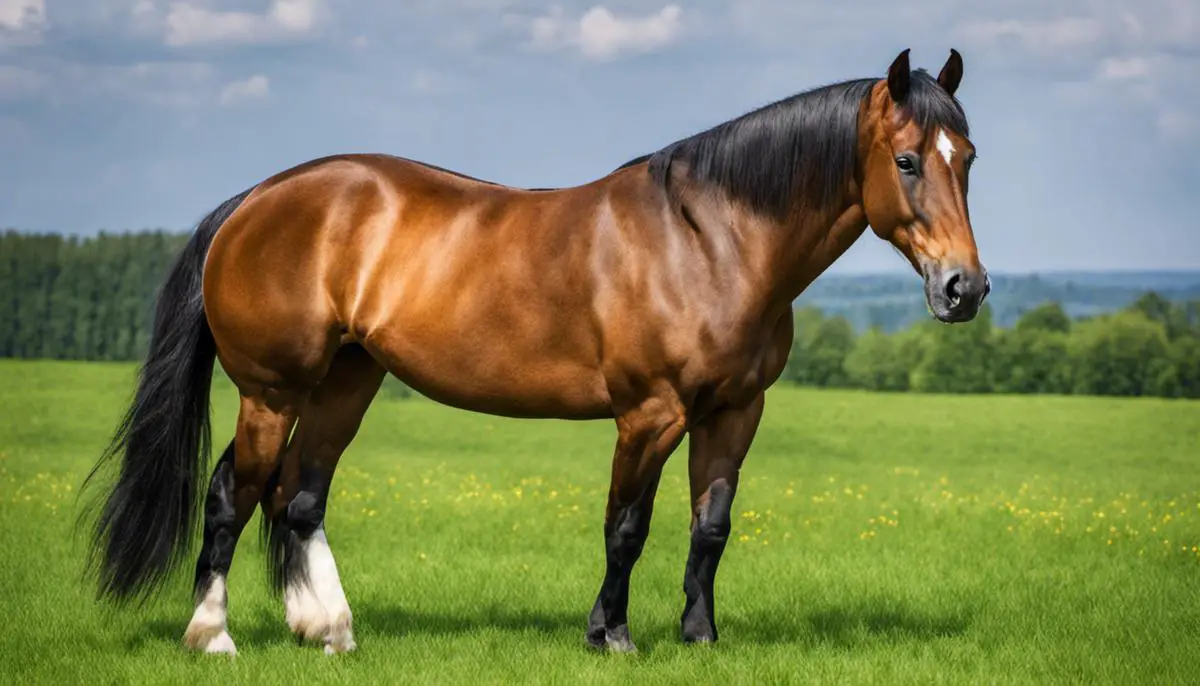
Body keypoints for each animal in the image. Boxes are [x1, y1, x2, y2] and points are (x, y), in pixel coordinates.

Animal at [82, 48, 984, 652]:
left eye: (967, 159)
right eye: (907, 159)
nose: (963, 288)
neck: (708, 241)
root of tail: (257, 198)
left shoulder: (734, 412)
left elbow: (710, 528)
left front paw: (699, 636)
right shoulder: (649, 413)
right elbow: (627, 526)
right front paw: (609, 635)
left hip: (347, 382)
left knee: (297, 497)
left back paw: (328, 629)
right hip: (271, 390)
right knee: (232, 494)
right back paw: (213, 636)